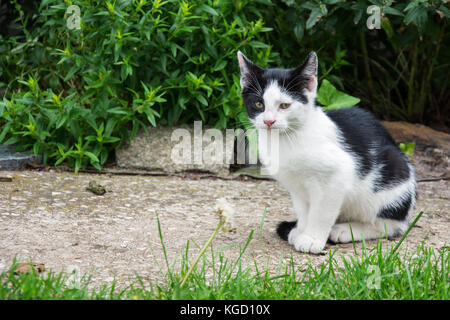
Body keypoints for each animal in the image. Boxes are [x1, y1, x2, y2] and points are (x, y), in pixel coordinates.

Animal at [237, 51, 416, 254]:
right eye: (259, 104)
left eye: (284, 105)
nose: (268, 121)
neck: (287, 139)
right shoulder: (296, 186)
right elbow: (304, 210)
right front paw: (301, 230)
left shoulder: (335, 178)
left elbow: (321, 212)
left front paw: (312, 239)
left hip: (393, 178)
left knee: (389, 225)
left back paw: (347, 230)